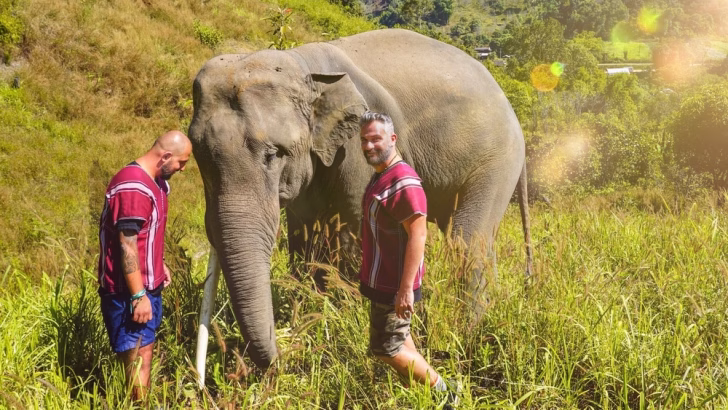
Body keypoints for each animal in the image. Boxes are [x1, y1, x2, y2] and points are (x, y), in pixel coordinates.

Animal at [188, 28, 532, 371]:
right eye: (199, 155)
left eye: (273, 155)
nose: (284, 351)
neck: (303, 63)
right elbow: (304, 237)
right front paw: (311, 308)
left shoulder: (357, 148)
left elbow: (354, 233)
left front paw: (340, 317)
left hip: (496, 162)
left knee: (467, 239)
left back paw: (469, 328)